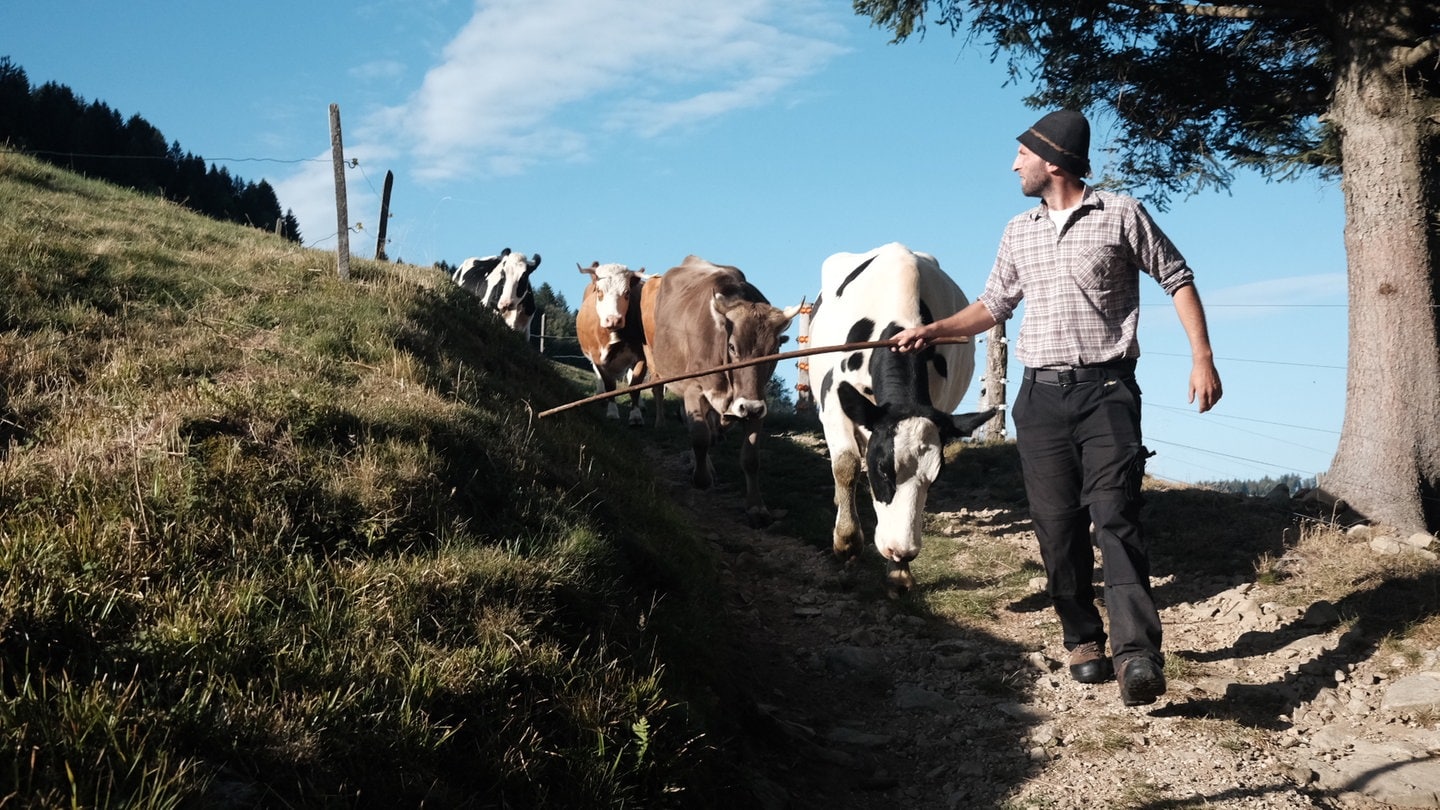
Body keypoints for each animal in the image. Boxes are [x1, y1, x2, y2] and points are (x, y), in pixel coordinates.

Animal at [578, 259, 653, 426]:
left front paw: (636, 415)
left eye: (627, 293)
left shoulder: (641, 357)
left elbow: (635, 386)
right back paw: (600, 396)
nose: (613, 319)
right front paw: (612, 411)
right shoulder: (598, 357)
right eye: (600, 292)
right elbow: (610, 384)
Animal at [642, 255, 800, 527]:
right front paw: (702, 478)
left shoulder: (758, 402)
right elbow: (699, 436)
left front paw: (756, 507)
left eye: (774, 350)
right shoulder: (694, 389)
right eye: (733, 347)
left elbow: (751, 457)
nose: (748, 407)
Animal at [806, 242, 996, 590]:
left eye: (935, 478)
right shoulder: (834, 403)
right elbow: (846, 465)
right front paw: (847, 540)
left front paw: (899, 572)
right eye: (883, 471)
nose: (902, 550)